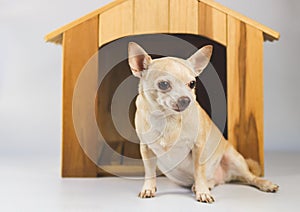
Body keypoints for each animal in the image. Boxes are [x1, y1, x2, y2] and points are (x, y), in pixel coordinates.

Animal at [127, 42, 278, 203]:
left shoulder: (198, 147)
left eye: (192, 84)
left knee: (250, 177)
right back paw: (207, 184)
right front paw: (148, 188)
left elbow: (199, 171)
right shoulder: (146, 149)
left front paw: (202, 192)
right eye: (163, 84)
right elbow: (149, 172)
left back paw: (265, 184)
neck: (168, 118)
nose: (185, 99)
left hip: (234, 159)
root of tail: (225, 177)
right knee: (215, 180)